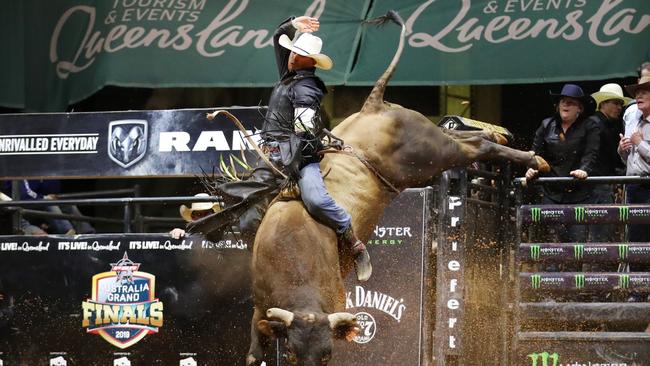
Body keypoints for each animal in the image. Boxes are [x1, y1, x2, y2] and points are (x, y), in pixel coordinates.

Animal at [246, 10, 544, 366]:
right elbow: (254, 354)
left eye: (327, 356)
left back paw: (533, 158)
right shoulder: (259, 311)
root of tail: (373, 106)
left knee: (477, 148)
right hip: (433, 143)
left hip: (428, 155)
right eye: (290, 354)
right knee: (473, 138)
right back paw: (501, 137)